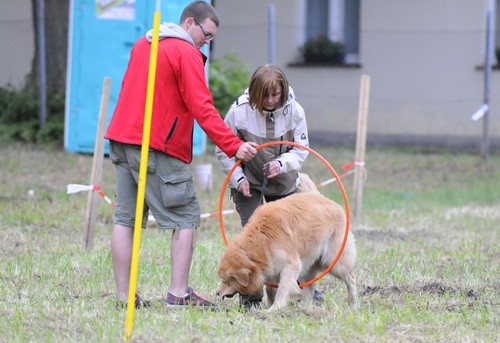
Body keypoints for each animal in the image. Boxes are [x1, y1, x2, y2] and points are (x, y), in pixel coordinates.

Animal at [217, 175, 358, 312]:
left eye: (226, 281)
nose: (217, 293)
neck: (259, 243)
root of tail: (327, 201)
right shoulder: (271, 269)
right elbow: (270, 289)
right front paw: (269, 306)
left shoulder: (291, 265)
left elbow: (283, 289)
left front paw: (275, 308)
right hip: (309, 266)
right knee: (309, 289)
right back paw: (305, 309)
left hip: (335, 263)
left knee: (351, 279)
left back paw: (354, 303)